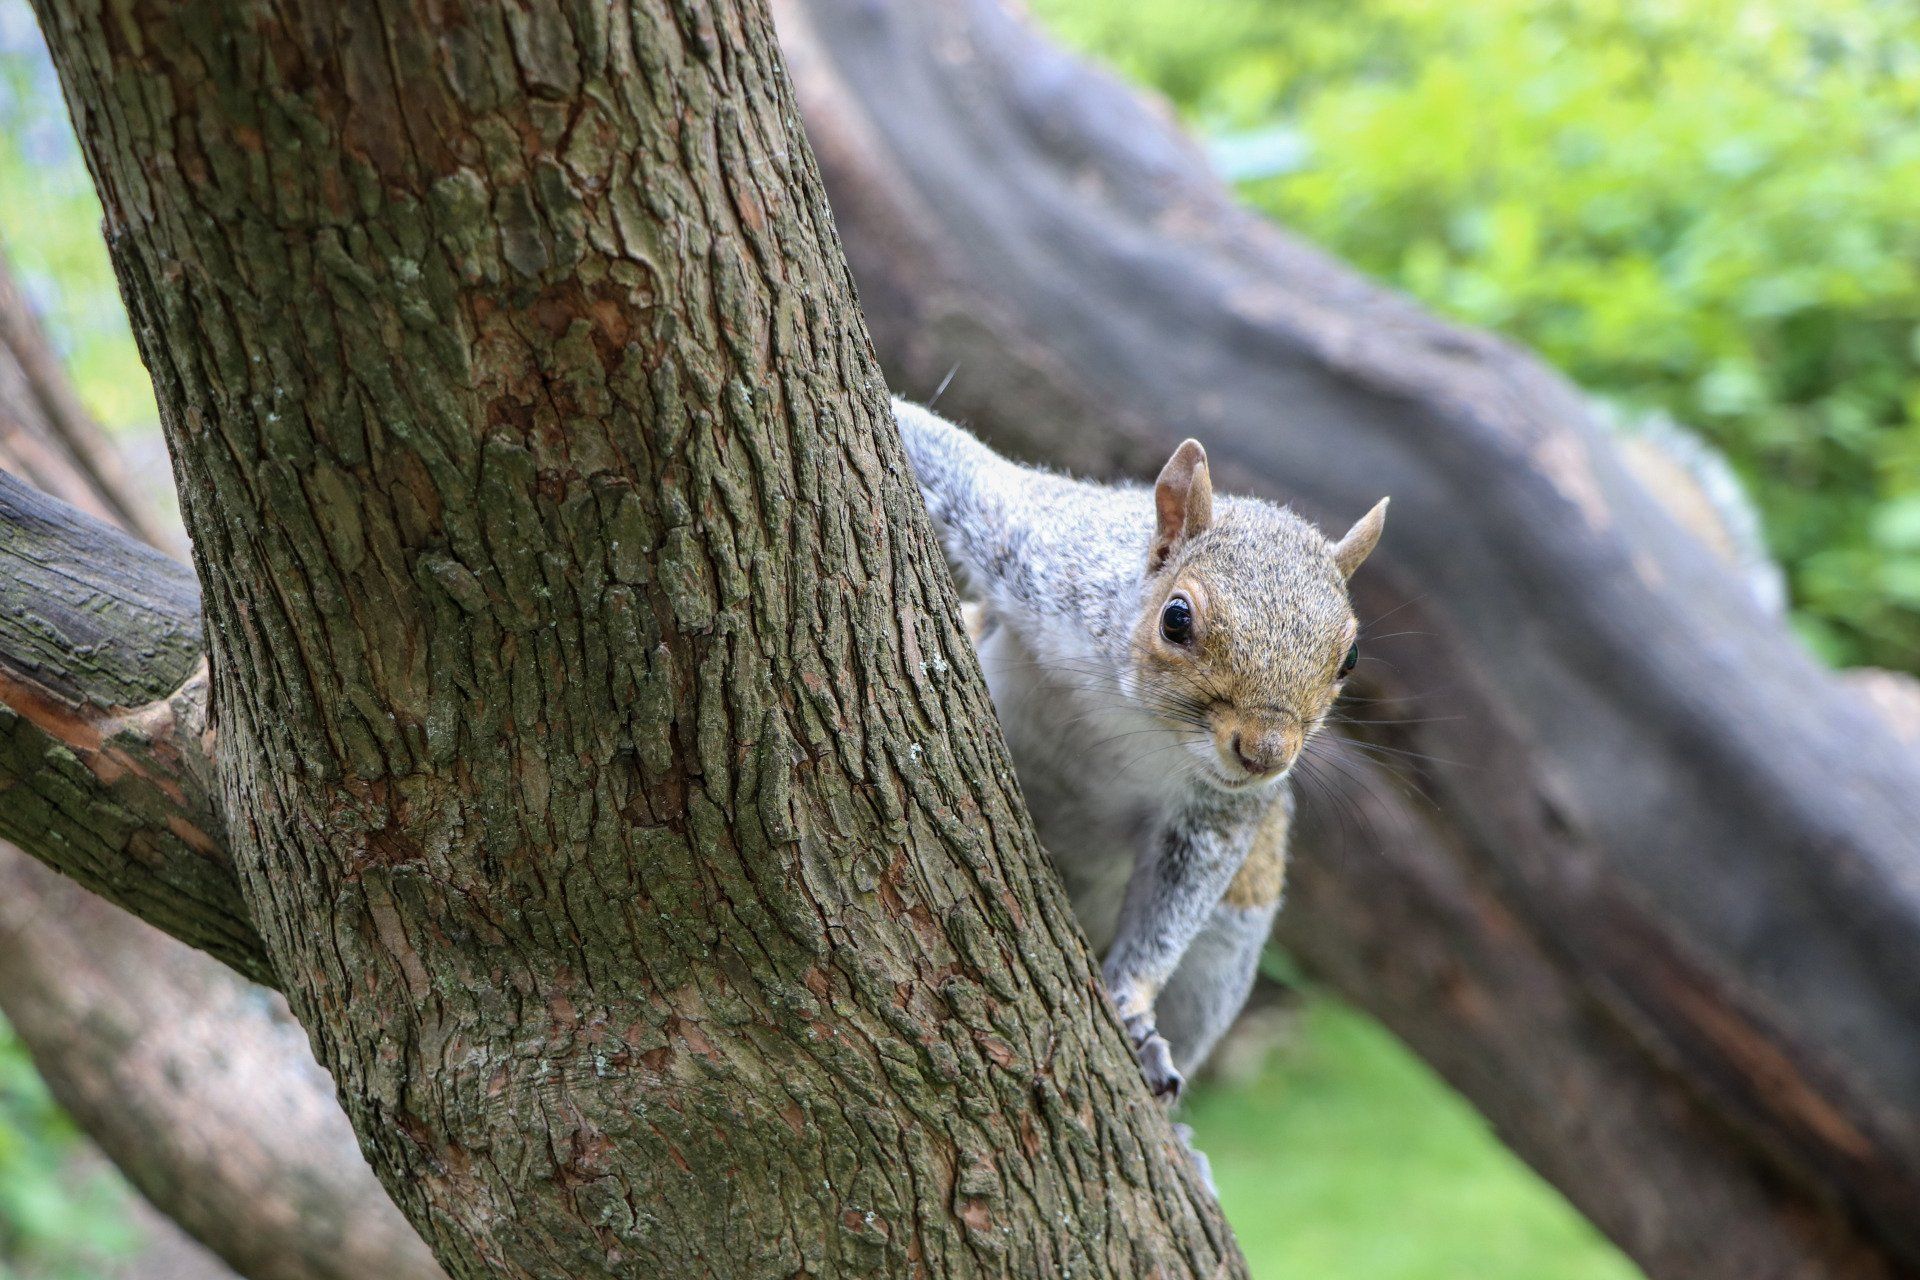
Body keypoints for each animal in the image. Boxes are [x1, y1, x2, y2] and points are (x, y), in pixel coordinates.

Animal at [894, 399, 1387, 1101]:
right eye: (1176, 618)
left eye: (1351, 657)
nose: (1265, 754)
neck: (1137, 714)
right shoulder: (1042, 551)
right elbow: (949, 458)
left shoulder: (1217, 813)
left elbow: (1175, 898)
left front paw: (1131, 1003)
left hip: (1231, 939)